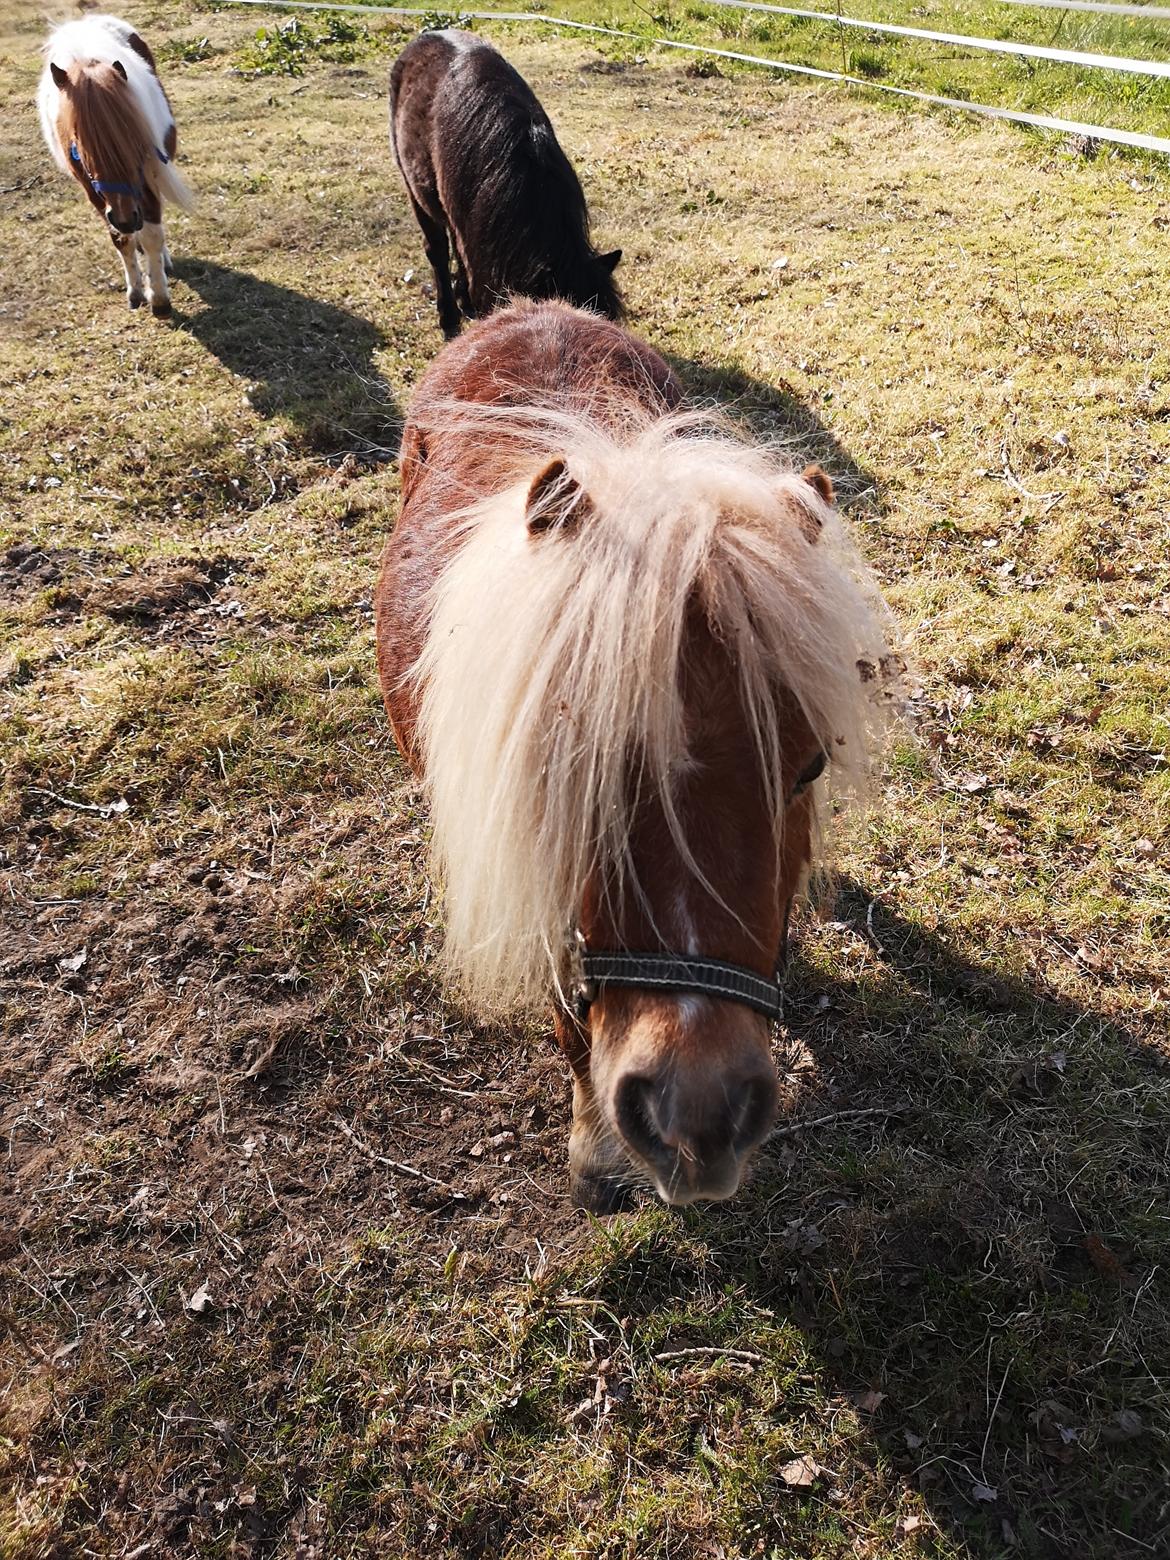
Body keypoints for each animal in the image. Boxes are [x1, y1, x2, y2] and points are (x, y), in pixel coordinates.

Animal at [39, 15, 195, 316]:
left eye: (133, 136)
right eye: (77, 145)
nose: (125, 217)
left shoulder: (145, 177)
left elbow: (153, 235)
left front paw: (159, 296)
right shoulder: (94, 191)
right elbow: (121, 240)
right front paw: (136, 291)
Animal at [380, 301, 904, 1204]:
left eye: (808, 767)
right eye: (570, 771)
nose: (699, 1116)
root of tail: (534, 306)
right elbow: (570, 1019)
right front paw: (594, 1147)